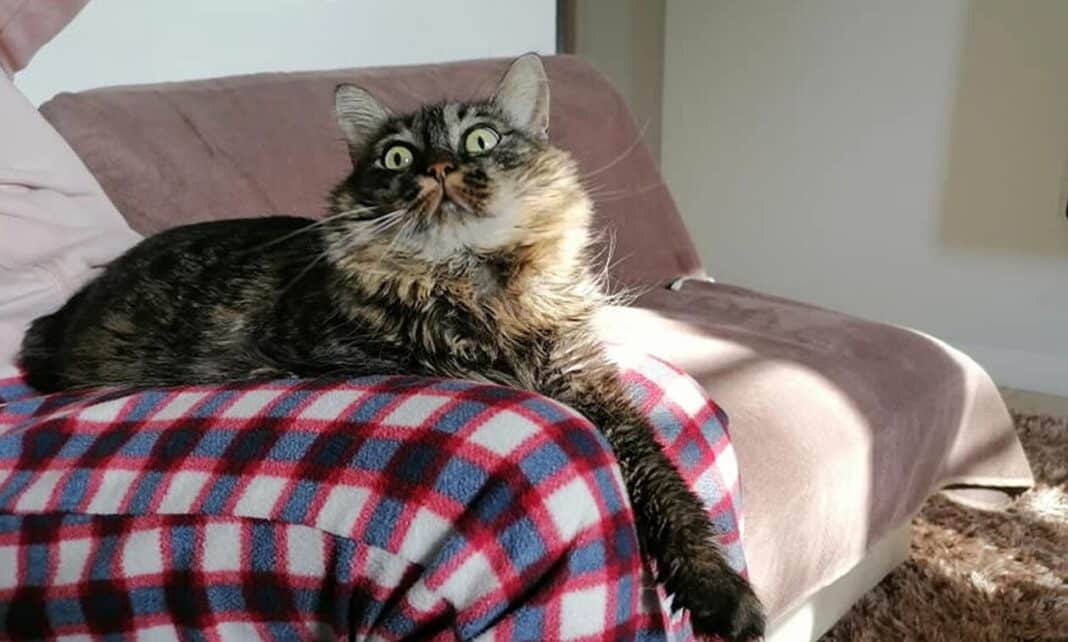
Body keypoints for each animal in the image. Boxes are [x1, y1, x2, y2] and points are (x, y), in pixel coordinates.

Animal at [19, 55, 764, 641]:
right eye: (397, 156)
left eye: (481, 139)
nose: (438, 167)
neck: (483, 287)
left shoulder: (590, 384)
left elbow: (669, 488)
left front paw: (721, 594)